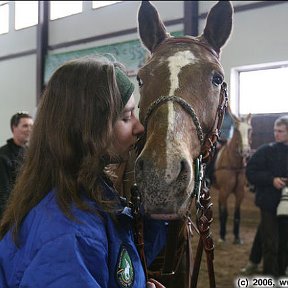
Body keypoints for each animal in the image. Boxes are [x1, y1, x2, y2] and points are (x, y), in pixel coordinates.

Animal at [213, 113, 251, 244]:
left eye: (249, 130)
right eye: (237, 130)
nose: (245, 151)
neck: (234, 165)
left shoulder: (240, 192)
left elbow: (237, 214)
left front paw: (237, 237)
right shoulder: (225, 191)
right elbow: (225, 214)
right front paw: (222, 236)